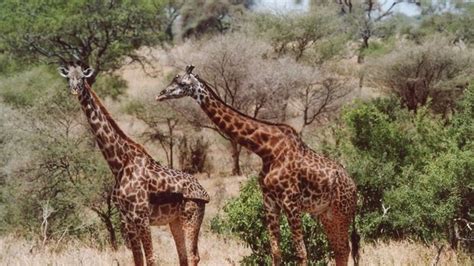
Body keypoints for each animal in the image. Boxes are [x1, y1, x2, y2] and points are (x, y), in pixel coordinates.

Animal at [57, 64, 209, 266]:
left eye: (82, 78)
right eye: (68, 78)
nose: (75, 90)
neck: (119, 164)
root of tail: (204, 192)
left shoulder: (141, 216)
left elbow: (151, 258)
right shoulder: (127, 218)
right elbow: (138, 259)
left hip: (191, 216)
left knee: (193, 256)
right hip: (175, 220)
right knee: (183, 255)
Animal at [156, 66, 360, 266]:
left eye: (182, 83)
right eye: (173, 79)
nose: (161, 94)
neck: (266, 150)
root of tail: (354, 187)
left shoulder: (291, 201)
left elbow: (301, 253)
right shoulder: (269, 201)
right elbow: (276, 252)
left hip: (342, 212)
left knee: (344, 249)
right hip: (327, 214)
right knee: (340, 251)